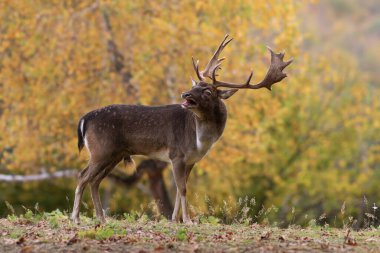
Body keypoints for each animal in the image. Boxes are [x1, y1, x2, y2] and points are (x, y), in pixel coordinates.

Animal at [72, 35, 290, 223]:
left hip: (114, 154)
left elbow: (179, 188)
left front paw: (175, 220)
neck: (199, 141)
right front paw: (187, 220)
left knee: (94, 181)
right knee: (83, 176)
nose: (185, 93)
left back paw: (101, 218)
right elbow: (183, 189)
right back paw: (75, 218)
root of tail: (84, 119)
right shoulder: (176, 154)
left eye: (207, 91)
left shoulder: (191, 160)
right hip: (102, 150)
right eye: (194, 86)